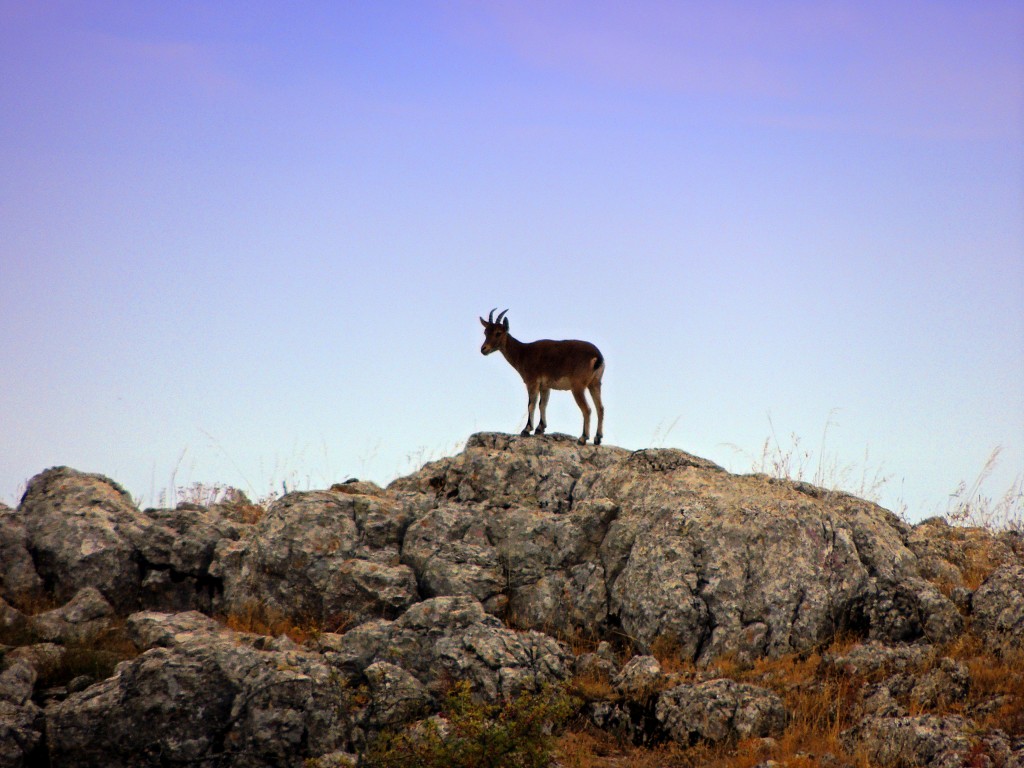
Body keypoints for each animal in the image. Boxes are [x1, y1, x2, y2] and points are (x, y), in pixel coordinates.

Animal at [477, 309, 602, 448]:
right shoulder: (545, 386)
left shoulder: (532, 382)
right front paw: (540, 428)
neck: (523, 353)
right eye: (485, 332)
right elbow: (543, 404)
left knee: (587, 409)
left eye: (498, 333)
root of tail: (597, 357)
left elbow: (531, 404)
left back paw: (583, 438)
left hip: (578, 386)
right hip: (595, 384)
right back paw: (597, 438)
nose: (484, 349)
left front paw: (526, 430)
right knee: (600, 408)